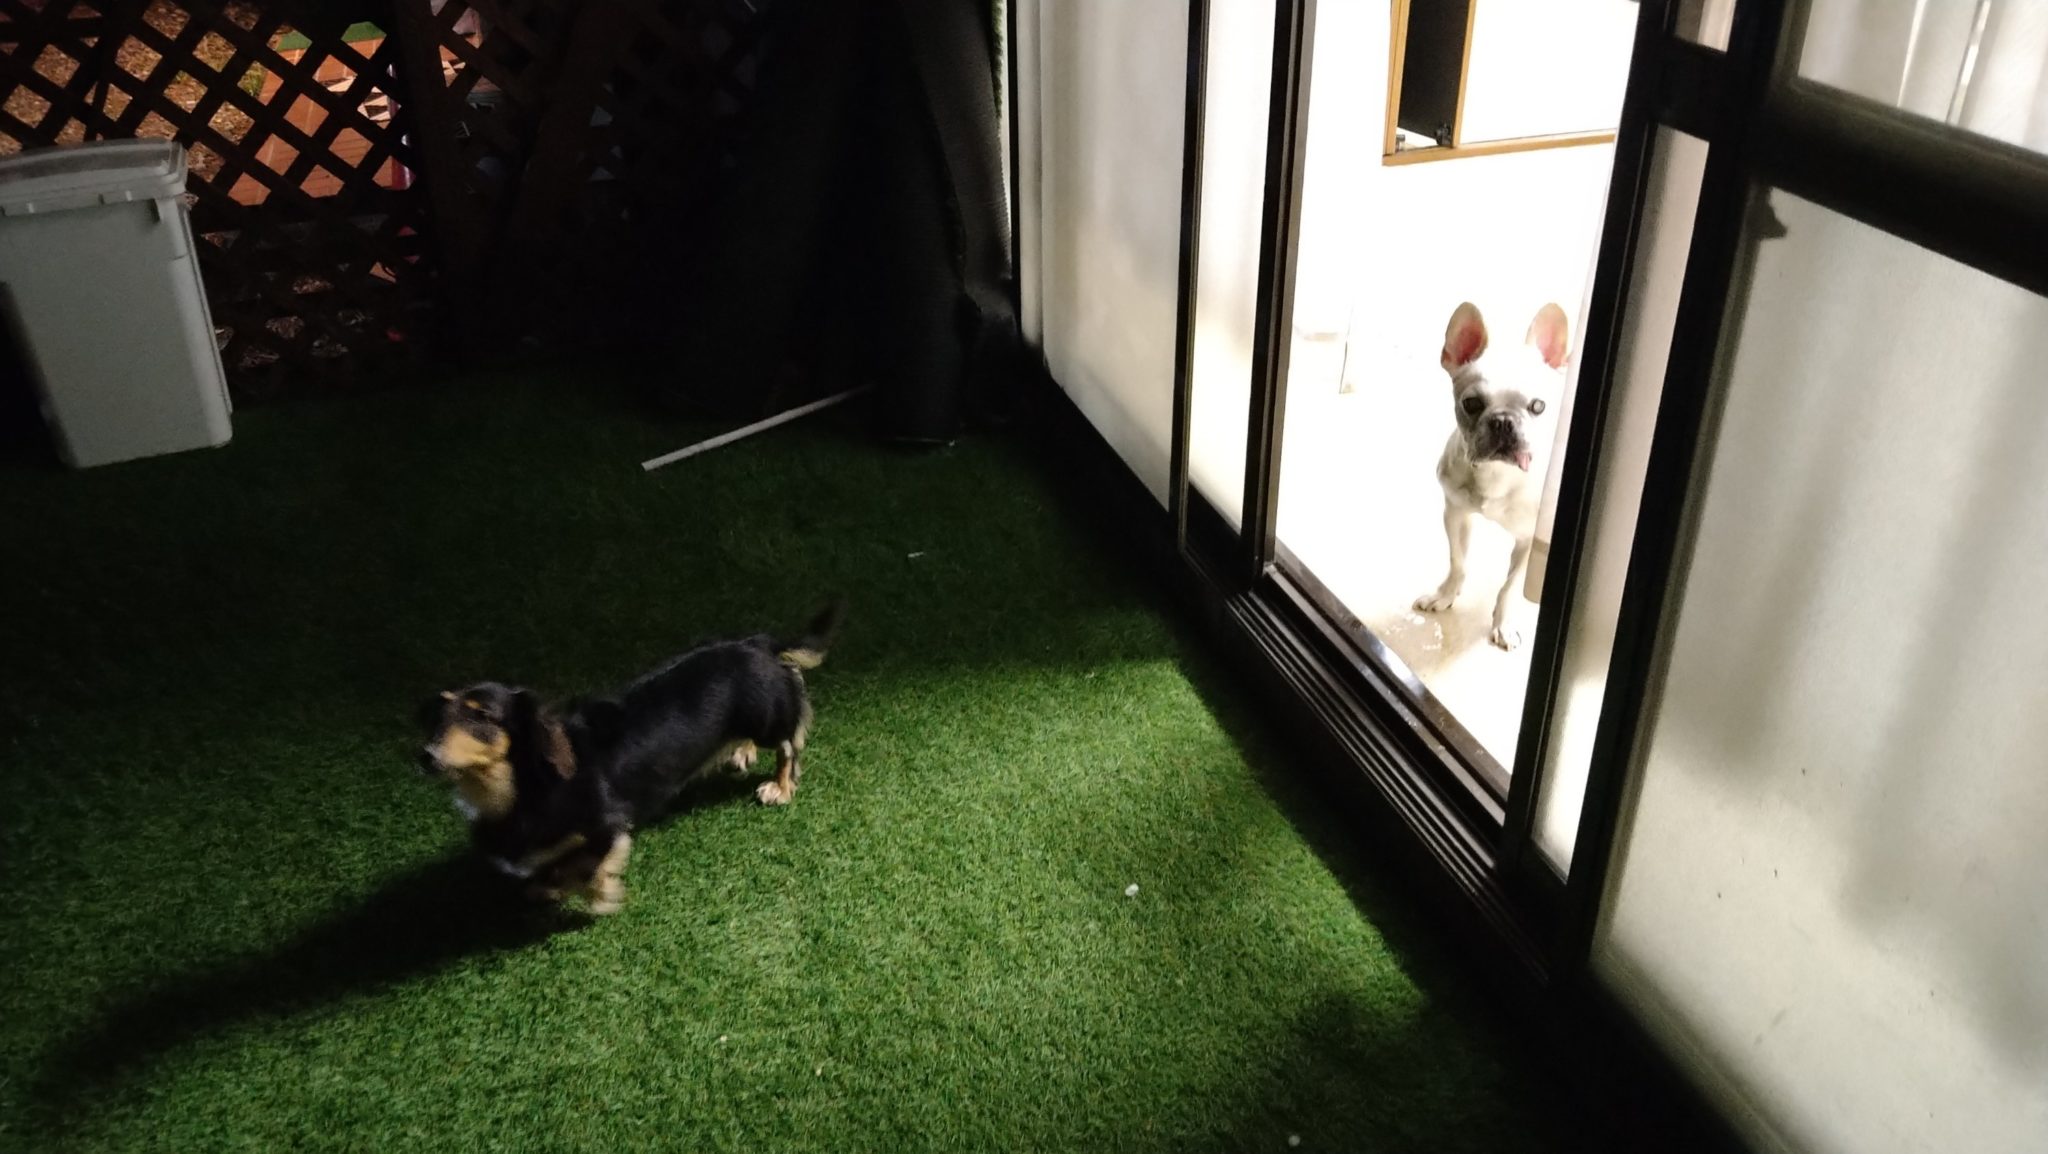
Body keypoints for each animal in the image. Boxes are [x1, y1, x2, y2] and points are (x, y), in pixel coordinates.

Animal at [416, 601, 843, 914]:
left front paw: (600, 895)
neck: (523, 786)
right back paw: (740, 751)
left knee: (790, 741)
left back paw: (780, 787)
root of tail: (757, 642)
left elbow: (586, 867)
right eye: (440, 712)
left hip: (767, 718)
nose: (425, 755)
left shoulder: (607, 824)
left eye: (482, 716)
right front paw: (547, 888)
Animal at [1413, 302, 1568, 651]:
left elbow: (1510, 588)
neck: (1497, 473)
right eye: (1471, 403)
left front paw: (1503, 624)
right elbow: (1458, 561)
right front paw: (1446, 594)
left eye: (1538, 406)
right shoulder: (1455, 513)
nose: (1503, 421)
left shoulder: (1529, 542)